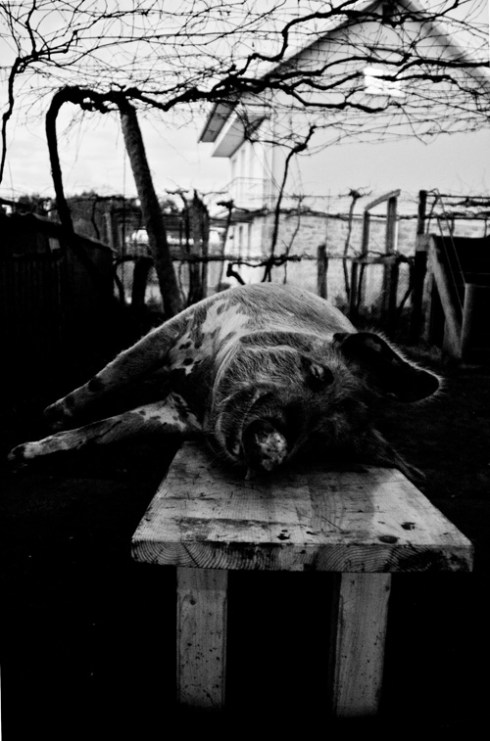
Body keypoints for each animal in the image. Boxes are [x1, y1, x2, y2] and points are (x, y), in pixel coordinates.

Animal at [8, 283, 439, 478]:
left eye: (323, 442)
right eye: (318, 374)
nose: (273, 454)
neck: (202, 387)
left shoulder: (175, 415)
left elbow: (103, 431)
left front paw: (18, 453)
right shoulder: (181, 324)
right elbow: (110, 377)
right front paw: (45, 418)